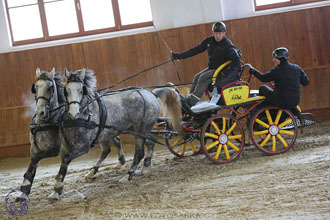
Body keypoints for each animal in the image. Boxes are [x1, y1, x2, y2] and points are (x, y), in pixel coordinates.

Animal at [17, 68, 65, 200]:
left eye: (50, 88)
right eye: (36, 87)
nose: (40, 112)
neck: (43, 125)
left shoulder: (54, 150)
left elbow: (35, 160)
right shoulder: (34, 148)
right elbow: (32, 166)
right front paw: (24, 192)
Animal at [46, 68, 182, 201]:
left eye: (81, 90)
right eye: (66, 90)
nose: (74, 113)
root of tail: (151, 94)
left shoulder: (84, 147)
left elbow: (66, 160)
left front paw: (57, 187)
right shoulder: (66, 146)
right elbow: (64, 163)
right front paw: (56, 191)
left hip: (140, 131)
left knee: (139, 153)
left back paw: (128, 176)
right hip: (140, 130)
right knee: (150, 142)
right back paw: (146, 168)